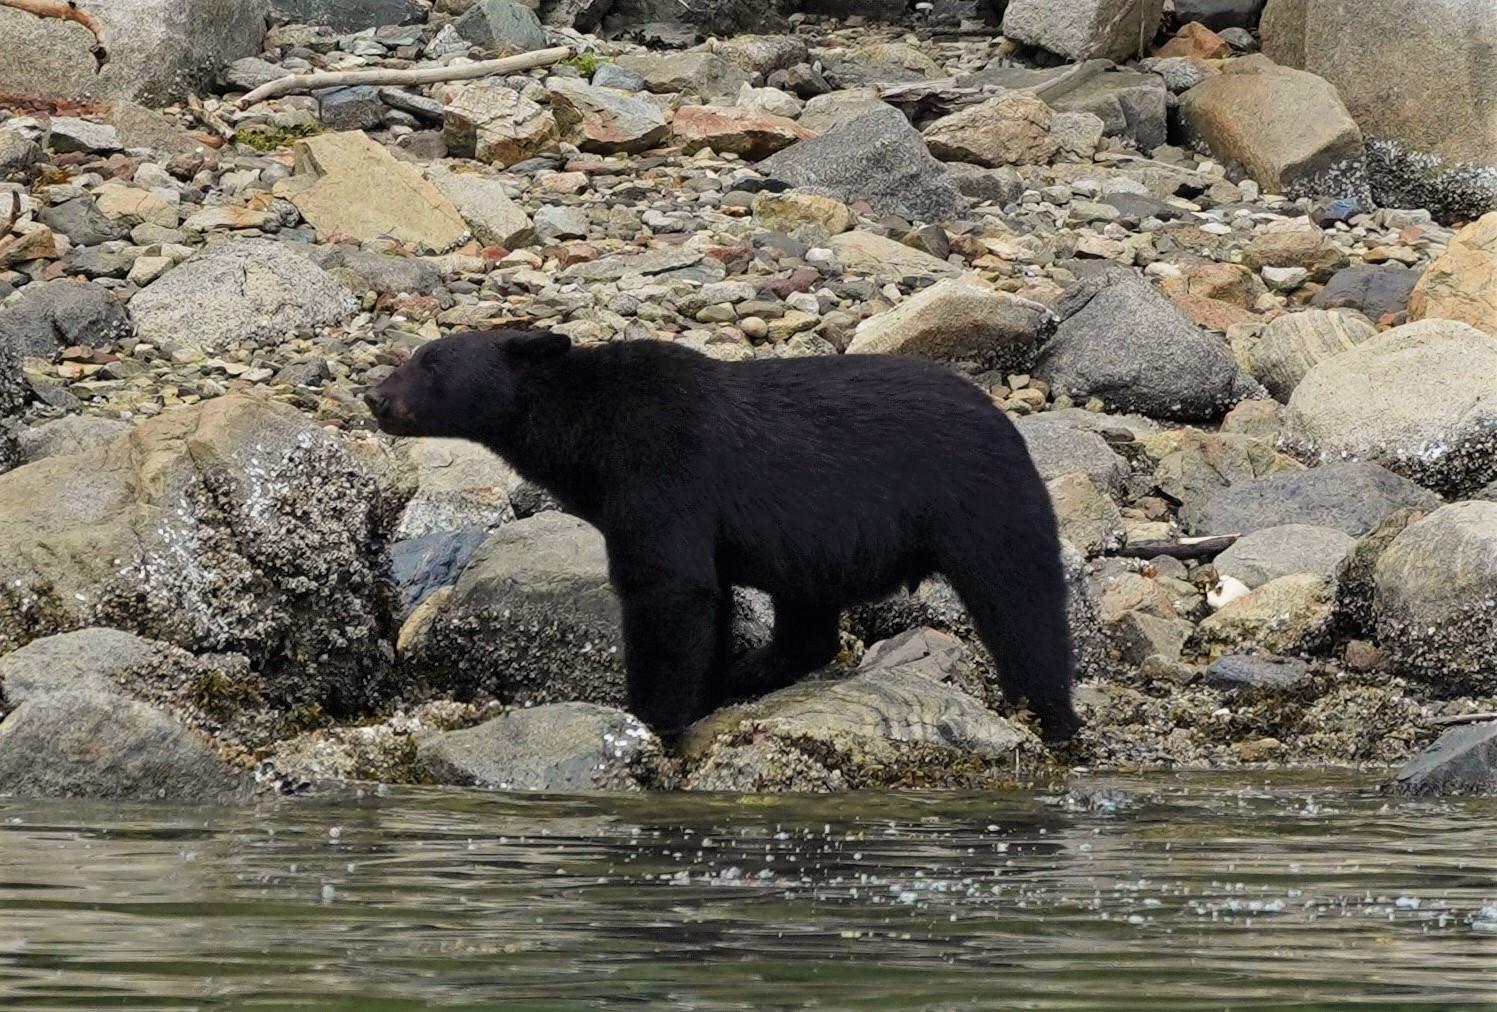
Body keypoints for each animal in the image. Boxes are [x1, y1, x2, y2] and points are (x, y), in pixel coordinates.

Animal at [366, 329, 1082, 744]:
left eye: (431, 364)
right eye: (414, 356)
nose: (374, 395)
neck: (587, 428)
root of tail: (1008, 421)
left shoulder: (660, 469)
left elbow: (667, 589)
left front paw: (652, 719)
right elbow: (705, 599)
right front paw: (702, 686)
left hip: (979, 500)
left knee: (1021, 605)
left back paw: (1051, 717)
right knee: (808, 625)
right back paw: (745, 675)